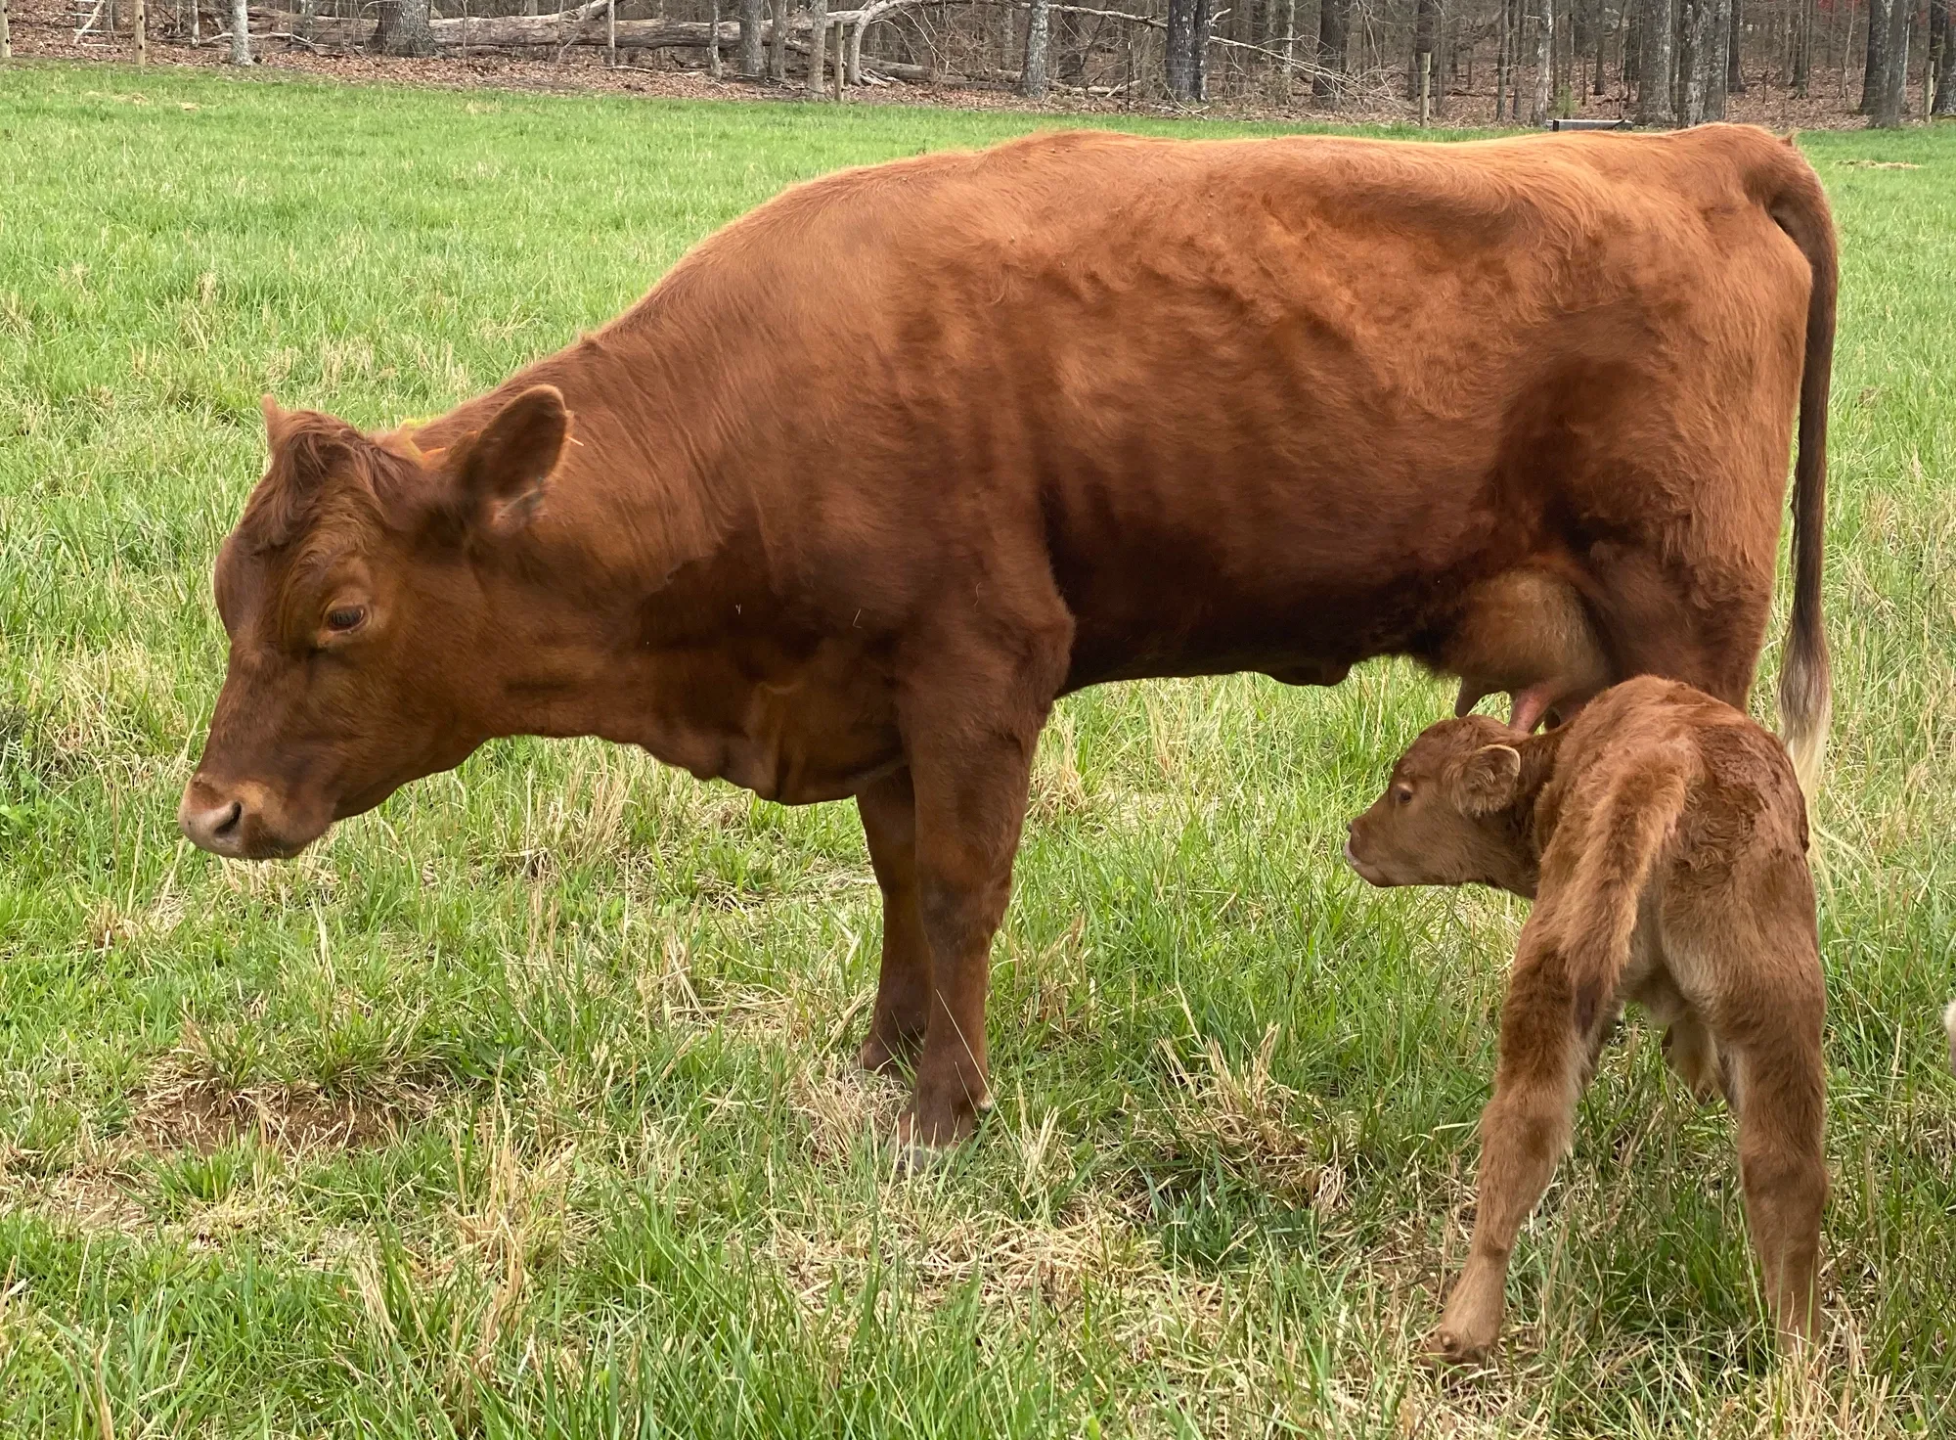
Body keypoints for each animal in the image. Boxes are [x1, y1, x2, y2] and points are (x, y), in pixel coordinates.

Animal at [178, 124, 1835, 1156]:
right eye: (224, 594)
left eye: (342, 610)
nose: (212, 813)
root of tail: (1699, 147)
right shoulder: (874, 700)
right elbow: (900, 878)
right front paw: (880, 1055)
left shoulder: (979, 670)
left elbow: (966, 886)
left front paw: (945, 1109)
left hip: (1689, 633)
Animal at [1343, 677, 1827, 1361]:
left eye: (1405, 791)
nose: (1355, 834)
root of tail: (1666, 767)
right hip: (1767, 1002)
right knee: (1784, 1170)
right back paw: (1798, 1354)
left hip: (1556, 967)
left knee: (1524, 1125)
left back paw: (1462, 1328)